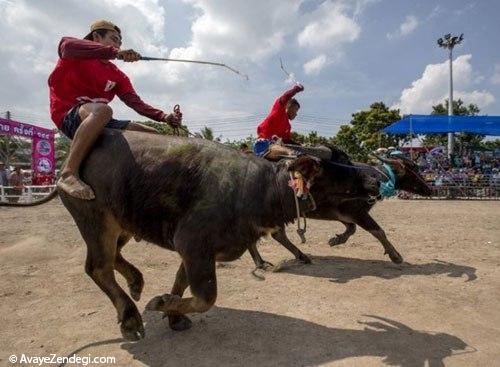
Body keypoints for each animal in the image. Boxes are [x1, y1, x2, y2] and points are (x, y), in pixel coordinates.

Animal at [0, 130, 330, 342]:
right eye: (321, 179)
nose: (315, 204)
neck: (256, 187)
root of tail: (64, 170)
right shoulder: (193, 241)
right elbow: (206, 297)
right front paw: (158, 304)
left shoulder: (197, 251)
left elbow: (182, 283)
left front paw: (172, 312)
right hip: (94, 219)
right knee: (98, 267)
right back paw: (130, 317)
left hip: (122, 224)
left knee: (114, 256)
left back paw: (136, 282)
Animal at [248, 144, 432, 270]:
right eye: (413, 168)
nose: (430, 188)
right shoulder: (357, 213)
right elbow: (378, 231)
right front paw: (395, 256)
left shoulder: (342, 214)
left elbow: (351, 229)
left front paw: (336, 240)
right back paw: (264, 262)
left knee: (275, 235)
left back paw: (291, 258)